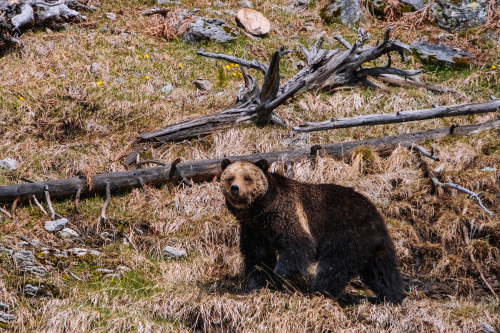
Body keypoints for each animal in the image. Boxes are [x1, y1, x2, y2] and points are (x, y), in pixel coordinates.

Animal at [222, 158, 406, 304]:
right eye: (230, 177)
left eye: (247, 178)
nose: (235, 188)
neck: (259, 210)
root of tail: (376, 214)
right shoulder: (254, 229)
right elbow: (258, 256)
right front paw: (255, 285)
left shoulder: (284, 213)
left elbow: (298, 243)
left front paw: (280, 277)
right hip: (374, 243)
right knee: (383, 270)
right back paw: (393, 295)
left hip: (346, 232)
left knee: (334, 265)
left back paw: (317, 291)